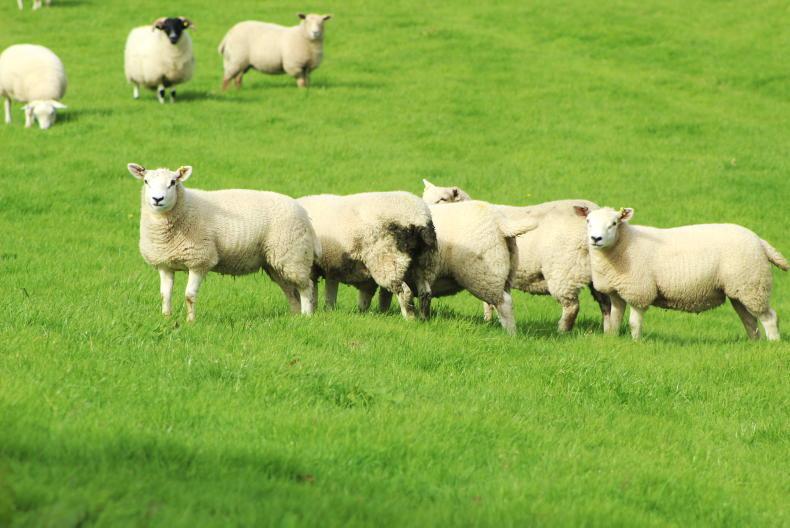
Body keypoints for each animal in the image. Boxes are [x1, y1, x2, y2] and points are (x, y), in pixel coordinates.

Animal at [127, 163, 321, 322]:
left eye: (173, 182)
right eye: (146, 181)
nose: (157, 199)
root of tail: (304, 214)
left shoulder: (200, 259)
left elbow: (189, 295)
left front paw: (191, 322)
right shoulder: (164, 264)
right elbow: (165, 295)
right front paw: (166, 319)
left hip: (293, 254)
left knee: (306, 287)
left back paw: (306, 316)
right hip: (275, 262)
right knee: (290, 290)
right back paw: (295, 316)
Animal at [297, 192, 438, 320]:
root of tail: (420, 219)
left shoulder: (311, 266)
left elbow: (312, 294)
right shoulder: (331, 265)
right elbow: (329, 294)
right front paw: (328, 311)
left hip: (388, 260)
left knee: (404, 292)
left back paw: (410, 319)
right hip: (423, 261)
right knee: (425, 292)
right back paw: (424, 318)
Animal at [577, 206, 788, 341]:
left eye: (614, 223)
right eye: (587, 221)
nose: (596, 238)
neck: (623, 245)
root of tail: (759, 241)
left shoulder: (639, 291)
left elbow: (634, 323)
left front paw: (636, 343)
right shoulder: (616, 292)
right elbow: (614, 321)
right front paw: (612, 340)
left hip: (753, 285)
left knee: (769, 318)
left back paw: (773, 344)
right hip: (741, 290)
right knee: (750, 320)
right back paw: (755, 343)